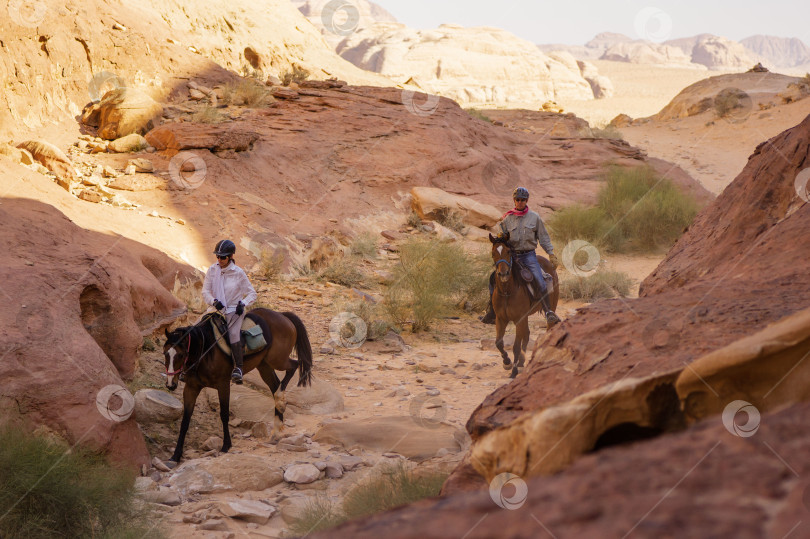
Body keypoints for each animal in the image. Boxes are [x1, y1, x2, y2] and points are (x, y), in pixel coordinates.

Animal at [160, 308, 310, 464]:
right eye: (165, 353)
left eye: (181, 355)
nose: (170, 384)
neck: (205, 351)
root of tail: (282, 315)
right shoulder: (191, 388)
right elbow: (185, 421)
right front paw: (176, 455)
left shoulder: (223, 385)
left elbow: (224, 415)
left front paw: (226, 445)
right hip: (264, 365)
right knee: (275, 386)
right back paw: (276, 430)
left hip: (277, 360)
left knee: (294, 365)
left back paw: (281, 401)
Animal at [490, 233, 560, 380]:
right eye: (493, 253)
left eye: (508, 251)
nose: (503, 274)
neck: (507, 291)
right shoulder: (501, 319)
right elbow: (499, 342)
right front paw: (507, 362)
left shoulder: (519, 319)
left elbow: (516, 346)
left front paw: (514, 371)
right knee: (527, 334)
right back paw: (522, 362)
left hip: (552, 306)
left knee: (549, 328)